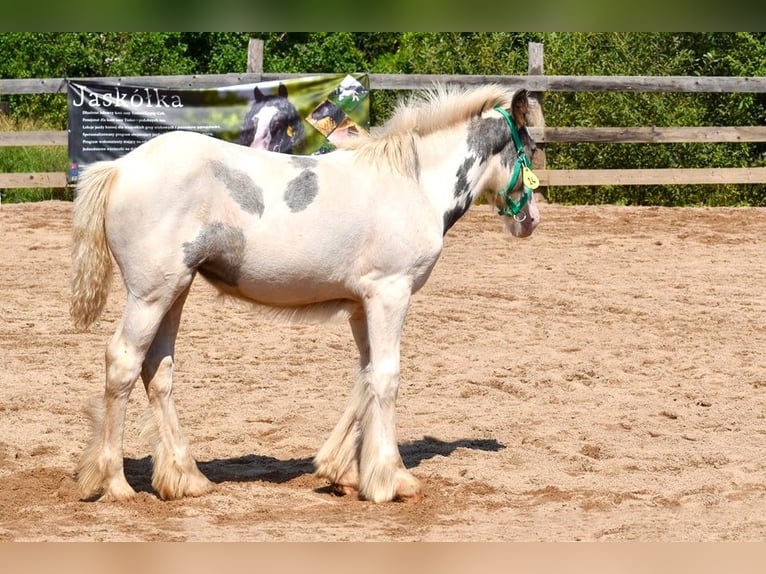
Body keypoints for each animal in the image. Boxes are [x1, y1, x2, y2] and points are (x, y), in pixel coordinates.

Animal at [70, 83, 540, 506]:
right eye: (532, 150)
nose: (530, 220)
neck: (413, 183)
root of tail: (119, 168)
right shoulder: (390, 293)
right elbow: (386, 377)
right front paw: (392, 480)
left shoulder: (360, 305)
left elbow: (365, 376)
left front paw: (341, 472)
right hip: (150, 295)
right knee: (123, 363)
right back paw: (115, 484)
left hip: (175, 290)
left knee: (158, 370)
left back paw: (185, 478)